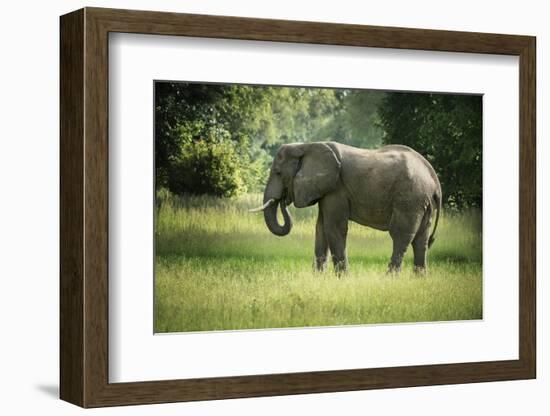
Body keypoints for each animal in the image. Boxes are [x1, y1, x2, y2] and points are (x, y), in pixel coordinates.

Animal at [251, 141, 444, 274]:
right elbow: (321, 228)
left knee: (401, 235)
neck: (305, 146)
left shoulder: (336, 188)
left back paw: (390, 278)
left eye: (278, 173)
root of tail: (433, 178)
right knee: (421, 240)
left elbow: (333, 228)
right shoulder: (326, 190)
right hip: (422, 202)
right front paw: (318, 278)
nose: (283, 200)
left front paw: (341, 279)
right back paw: (419, 279)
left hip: (410, 198)